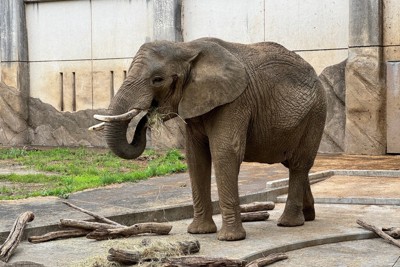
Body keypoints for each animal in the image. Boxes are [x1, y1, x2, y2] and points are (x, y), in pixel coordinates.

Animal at [92, 38, 326, 243]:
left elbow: (225, 152)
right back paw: (308, 216)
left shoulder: (235, 101)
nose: (148, 115)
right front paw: (199, 232)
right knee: (293, 164)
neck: (186, 47)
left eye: (157, 79)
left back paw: (289, 223)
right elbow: (196, 157)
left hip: (316, 113)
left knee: (299, 164)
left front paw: (230, 238)